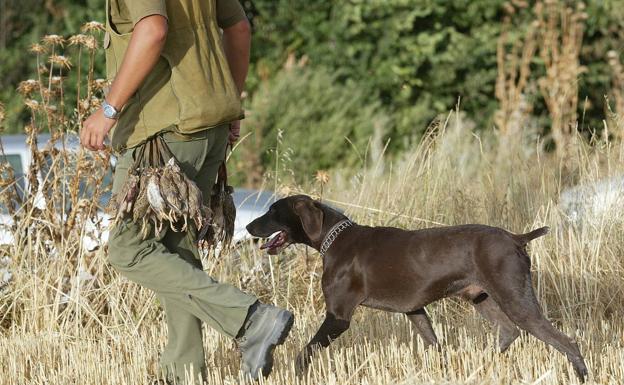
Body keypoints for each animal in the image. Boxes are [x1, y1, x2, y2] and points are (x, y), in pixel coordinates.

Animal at [246, 194, 588, 380]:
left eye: (273, 211)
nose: (248, 226)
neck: (334, 238)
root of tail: (516, 238)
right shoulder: (415, 310)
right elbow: (435, 347)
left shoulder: (338, 317)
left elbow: (304, 353)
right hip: (484, 298)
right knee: (508, 333)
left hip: (516, 299)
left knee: (568, 342)